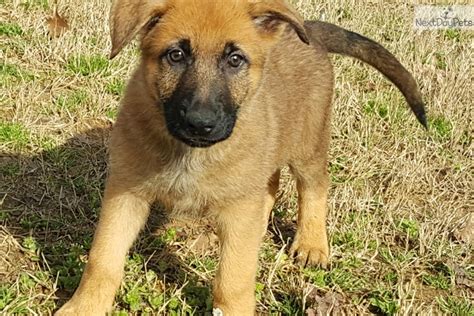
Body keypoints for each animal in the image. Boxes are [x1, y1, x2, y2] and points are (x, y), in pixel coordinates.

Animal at [56, 0, 426, 314]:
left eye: (235, 59)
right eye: (175, 55)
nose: (200, 123)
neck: (189, 154)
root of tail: (309, 31)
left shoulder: (236, 213)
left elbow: (232, 280)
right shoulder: (125, 194)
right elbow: (103, 259)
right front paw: (84, 307)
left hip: (308, 144)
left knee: (314, 185)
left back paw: (311, 244)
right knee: (269, 184)